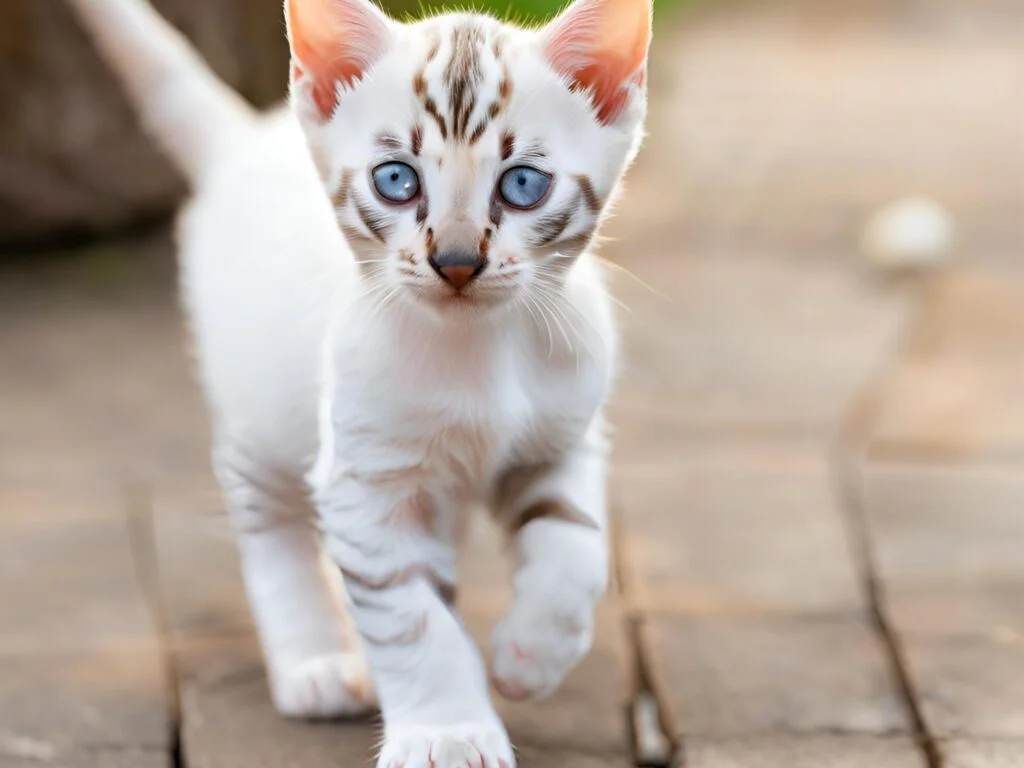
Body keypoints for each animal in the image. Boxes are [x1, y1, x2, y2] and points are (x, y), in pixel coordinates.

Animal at [64, 0, 651, 765]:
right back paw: (317, 660)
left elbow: (575, 550)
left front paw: (530, 655)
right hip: (262, 420)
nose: (456, 261)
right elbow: (410, 618)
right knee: (270, 525)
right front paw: (447, 731)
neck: (481, 350)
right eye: (396, 180)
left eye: (523, 185)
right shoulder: (367, 483)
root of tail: (244, 141)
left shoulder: (563, 441)